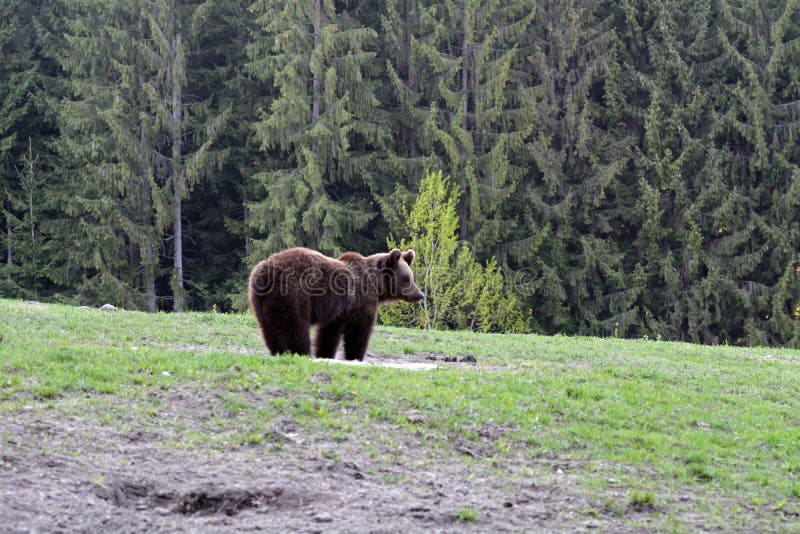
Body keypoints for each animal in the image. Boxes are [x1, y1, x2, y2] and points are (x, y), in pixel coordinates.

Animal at [248, 249, 424, 362]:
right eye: (407, 278)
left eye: (411, 277)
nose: (420, 294)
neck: (377, 285)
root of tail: (265, 272)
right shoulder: (361, 302)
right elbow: (359, 331)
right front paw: (355, 356)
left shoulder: (338, 310)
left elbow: (329, 334)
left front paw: (325, 353)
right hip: (294, 293)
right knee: (295, 327)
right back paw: (301, 352)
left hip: (261, 300)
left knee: (268, 328)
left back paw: (277, 350)